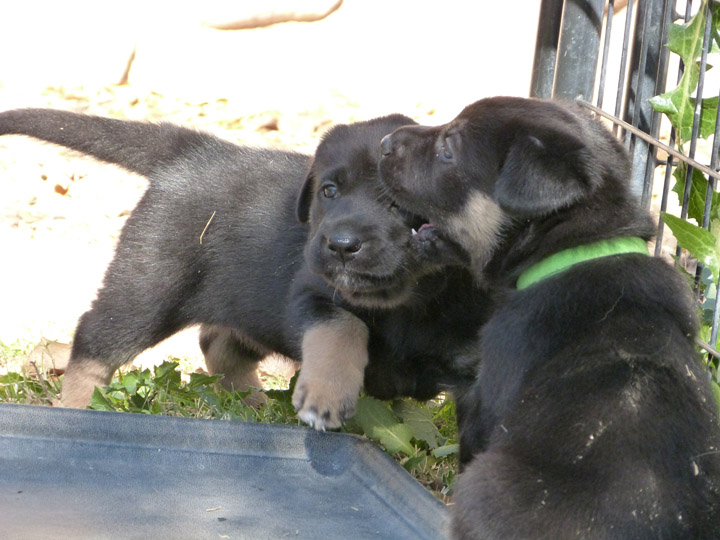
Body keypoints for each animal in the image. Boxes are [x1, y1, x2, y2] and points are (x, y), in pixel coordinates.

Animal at [0, 109, 486, 430]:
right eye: (328, 191)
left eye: (397, 203)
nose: (340, 245)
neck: (413, 300)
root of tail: (194, 150)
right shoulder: (310, 294)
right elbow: (345, 328)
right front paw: (326, 393)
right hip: (148, 286)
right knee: (94, 341)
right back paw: (78, 408)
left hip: (246, 299)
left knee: (218, 341)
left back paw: (251, 403)